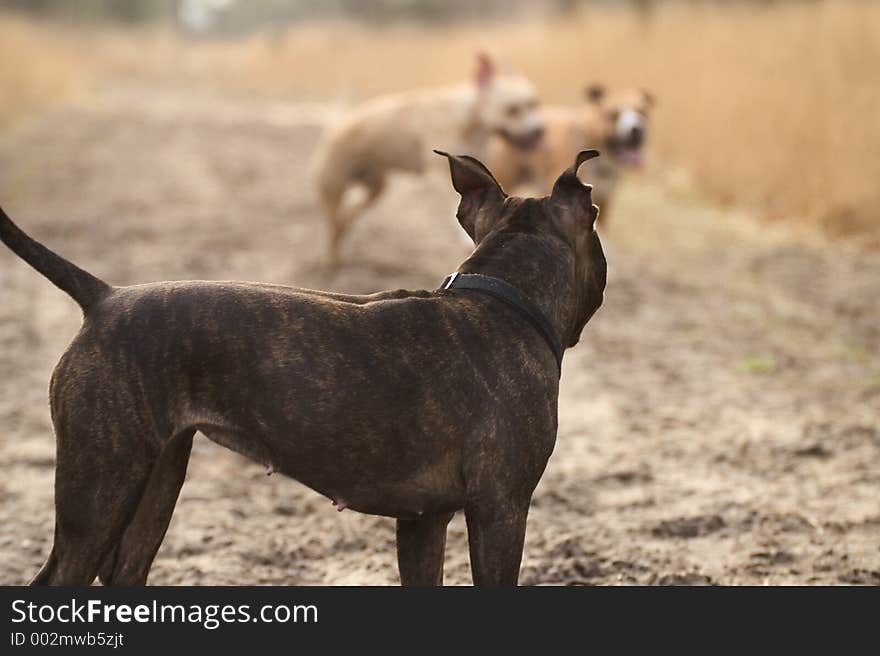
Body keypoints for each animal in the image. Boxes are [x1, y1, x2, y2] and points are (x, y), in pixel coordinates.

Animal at [0, 151, 604, 588]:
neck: (500, 297)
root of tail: (104, 298)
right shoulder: (501, 510)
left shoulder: (422, 520)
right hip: (100, 491)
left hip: (155, 483)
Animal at [310, 53, 544, 264]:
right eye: (512, 109)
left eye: (534, 104)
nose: (539, 131)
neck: (471, 120)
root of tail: (337, 125)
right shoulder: (438, 176)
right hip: (332, 185)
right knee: (331, 223)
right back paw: (330, 259)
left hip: (375, 185)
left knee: (350, 212)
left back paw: (344, 226)